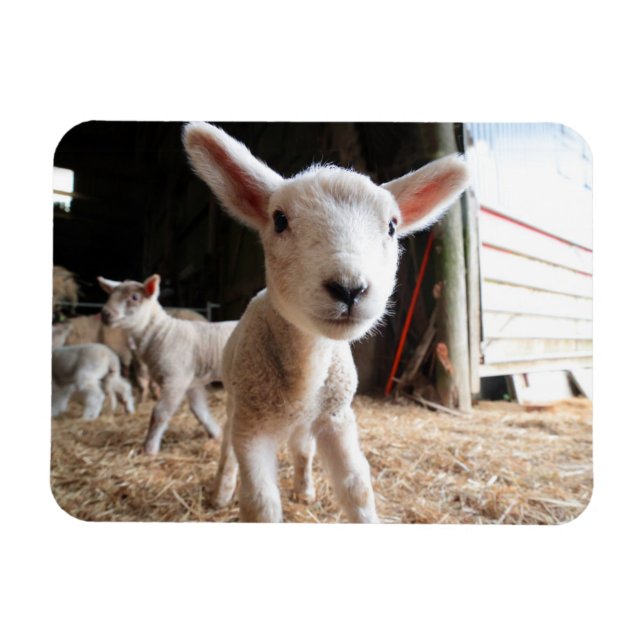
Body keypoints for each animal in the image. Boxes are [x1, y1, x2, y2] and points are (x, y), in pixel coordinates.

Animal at [97, 275, 238, 454]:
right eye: (110, 294)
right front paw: (216, 433)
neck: (162, 333)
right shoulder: (191, 381)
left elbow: (160, 413)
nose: (105, 314)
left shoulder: (176, 379)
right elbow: (199, 410)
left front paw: (149, 448)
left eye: (135, 297)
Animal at [183, 122, 469, 523]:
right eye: (279, 219)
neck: (308, 367)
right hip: (236, 404)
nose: (349, 288)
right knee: (226, 446)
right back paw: (221, 492)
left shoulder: (337, 417)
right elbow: (260, 503)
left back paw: (304, 489)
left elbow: (356, 487)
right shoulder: (252, 428)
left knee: (302, 449)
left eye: (392, 226)